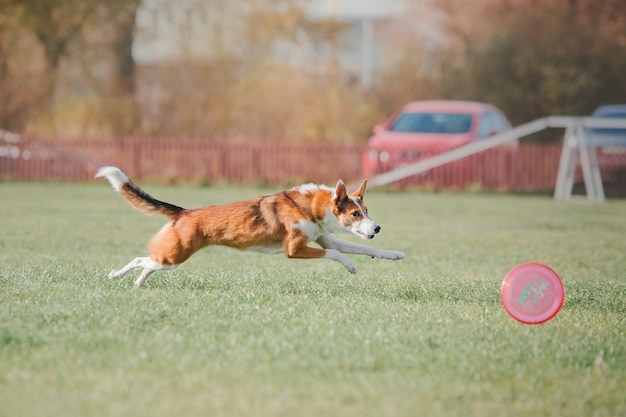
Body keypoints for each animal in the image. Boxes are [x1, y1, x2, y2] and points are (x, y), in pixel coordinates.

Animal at [95, 166, 402, 286]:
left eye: (366, 211)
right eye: (354, 214)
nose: (377, 228)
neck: (311, 207)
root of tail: (184, 212)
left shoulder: (326, 239)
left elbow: (361, 248)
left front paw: (395, 254)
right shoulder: (294, 249)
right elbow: (338, 254)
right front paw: (351, 267)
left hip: (170, 257)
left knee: (143, 261)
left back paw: (130, 282)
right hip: (175, 256)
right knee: (144, 261)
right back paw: (123, 277)